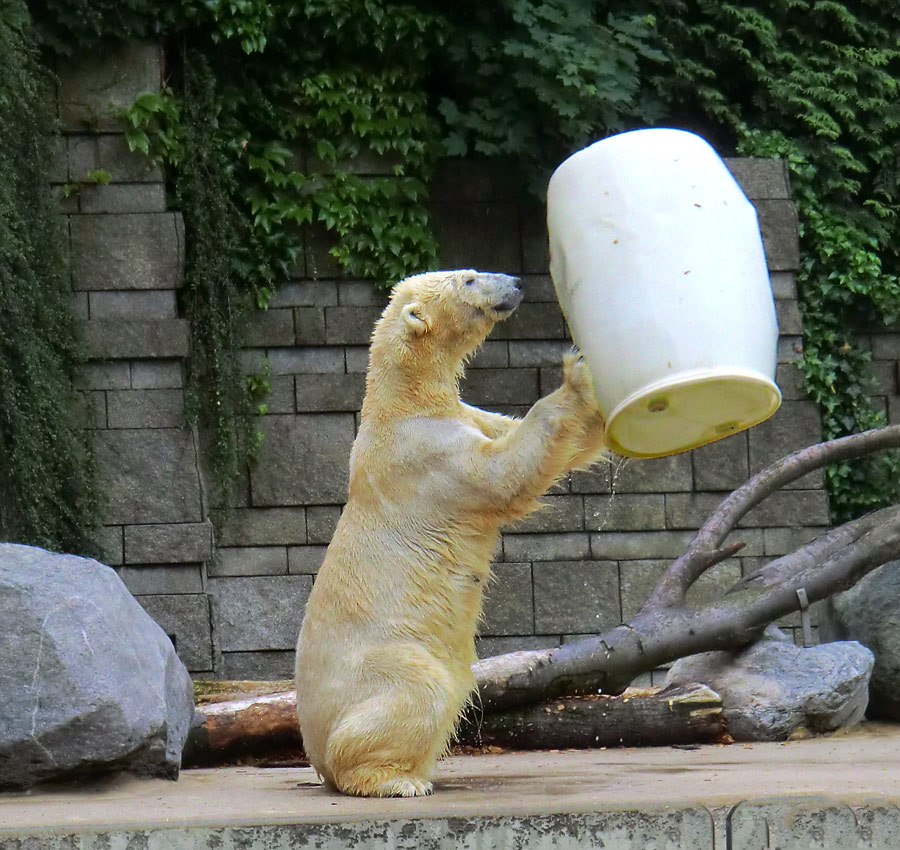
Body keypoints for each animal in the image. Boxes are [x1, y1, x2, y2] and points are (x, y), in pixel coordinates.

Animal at [296, 270, 604, 796]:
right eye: (469, 278)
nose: (517, 281)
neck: (403, 402)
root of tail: (312, 749)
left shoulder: (466, 415)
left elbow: (534, 439)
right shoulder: (427, 456)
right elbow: (503, 471)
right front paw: (578, 371)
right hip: (386, 657)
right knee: (420, 690)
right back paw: (395, 780)